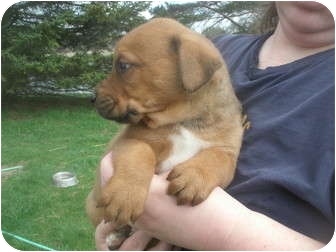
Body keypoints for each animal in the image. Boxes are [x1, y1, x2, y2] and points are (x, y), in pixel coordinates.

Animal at [86, 17, 244, 248]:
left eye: (123, 66)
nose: (92, 98)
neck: (184, 120)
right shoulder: (128, 140)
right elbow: (140, 152)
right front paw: (125, 195)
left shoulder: (228, 152)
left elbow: (216, 157)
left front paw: (194, 177)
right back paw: (118, 235)